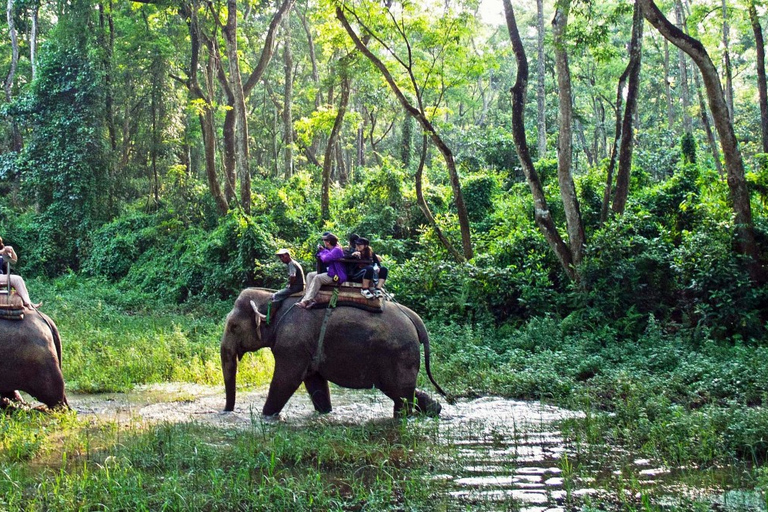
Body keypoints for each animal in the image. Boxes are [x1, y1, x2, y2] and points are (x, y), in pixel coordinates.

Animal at [219, 286, 448, 418]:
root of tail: (413, 317)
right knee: (403, 391)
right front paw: (325, 412)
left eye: (233, 327)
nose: (226, 411)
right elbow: (314, 381)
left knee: (399, 393)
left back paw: (403, 418)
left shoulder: (292, 344)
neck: (272, 299)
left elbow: (287, 379)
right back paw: (435, 410)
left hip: (398, 354)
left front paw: (266, 417)